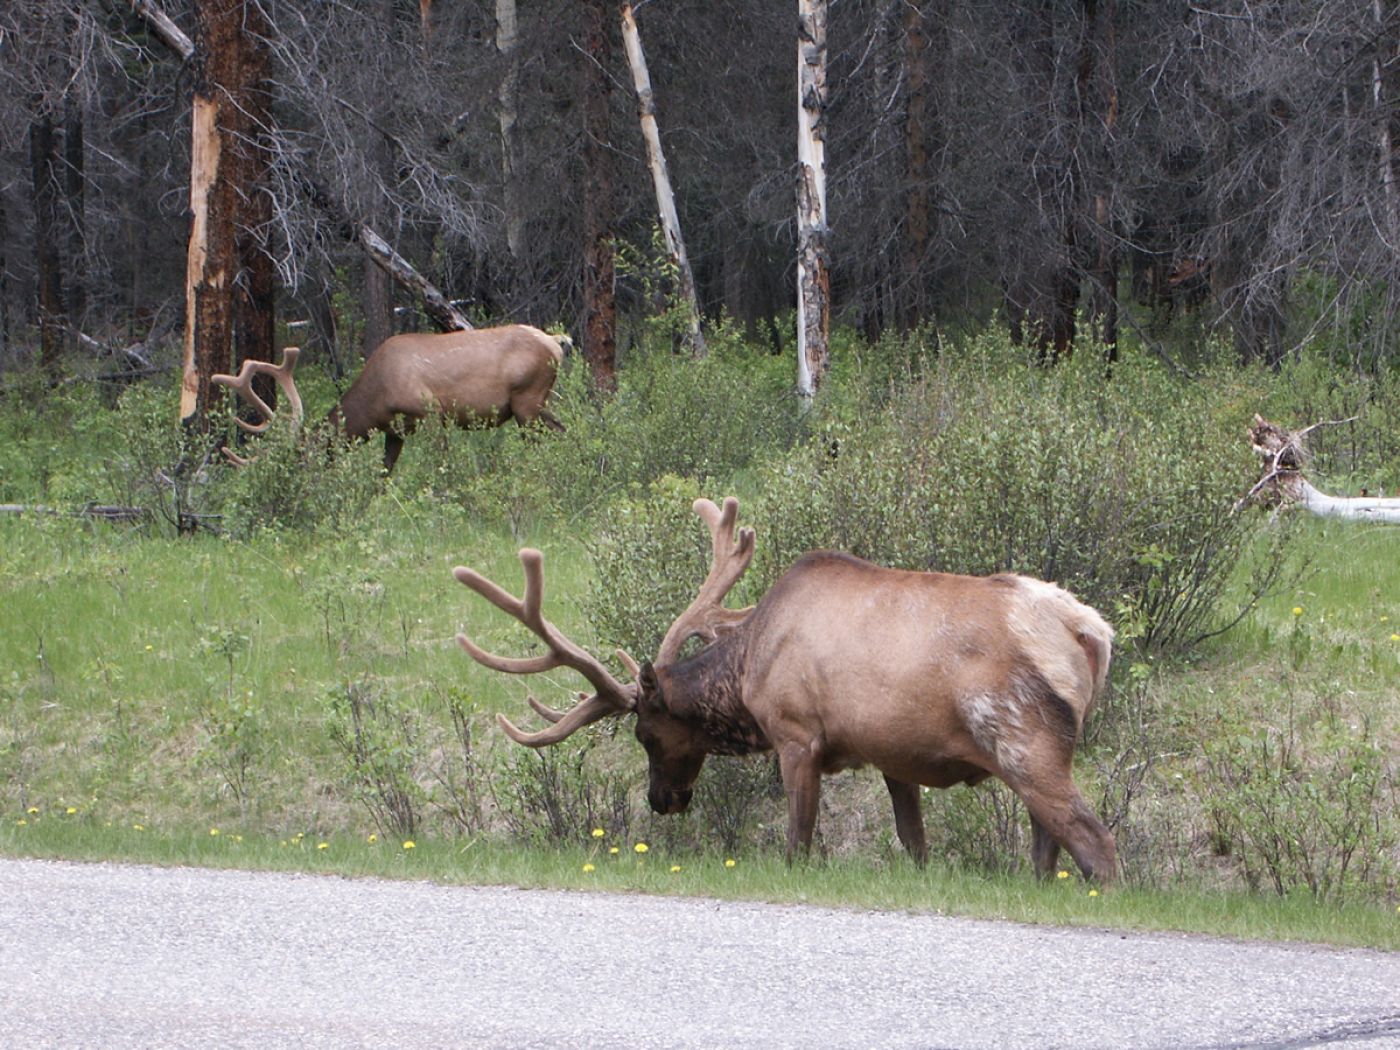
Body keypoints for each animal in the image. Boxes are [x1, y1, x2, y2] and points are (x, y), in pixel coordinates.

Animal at [212, 324, 568, 473]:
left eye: (300, 461)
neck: (376, 401)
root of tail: (556, 343)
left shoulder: (430, 413)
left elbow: (441, 466)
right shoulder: (394, 431)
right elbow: (383, 474)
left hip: (527, 401)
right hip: (539, 403)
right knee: (563, 431)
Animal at [453, 498, 1120, 884]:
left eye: (646, 734)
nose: (661, 800)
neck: (747, 671)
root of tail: (1091, 632)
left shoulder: (798, 735)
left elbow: (798, 840)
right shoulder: (892, 752)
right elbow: (915, 843)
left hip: (1023, 736)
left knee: (1097, 843)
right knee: (1048, 845)